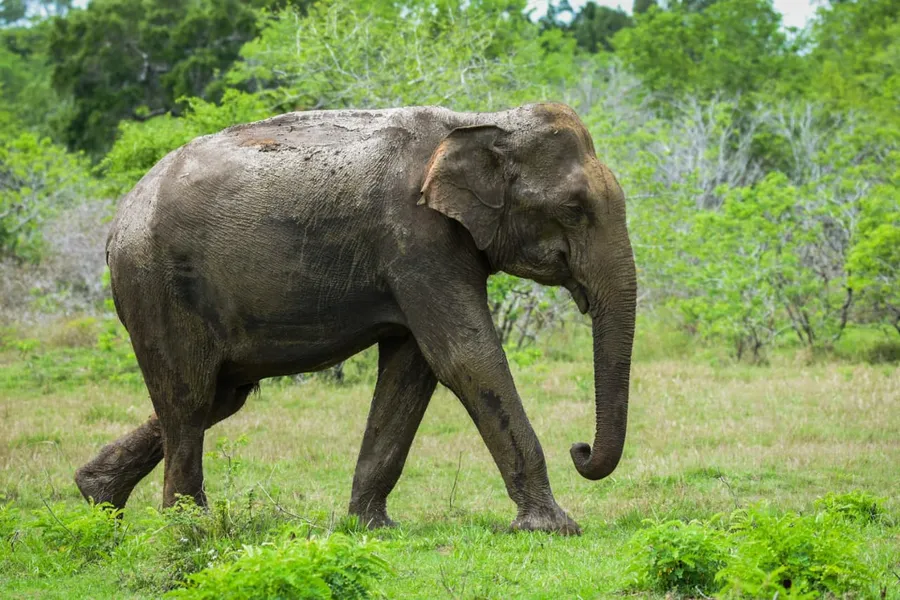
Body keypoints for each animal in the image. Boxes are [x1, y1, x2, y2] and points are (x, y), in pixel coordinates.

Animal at [74, 103, 636, 535]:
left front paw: (372, 527)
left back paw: (97, 498)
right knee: (189, 401)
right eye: (574, 209)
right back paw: (188, 530)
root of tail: (118, 222)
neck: (482, 121)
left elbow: (413, 372)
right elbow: (466, 358)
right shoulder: (416, 239)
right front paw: (554, 528)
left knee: (220, 396)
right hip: (158, 287)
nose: (580, 448)